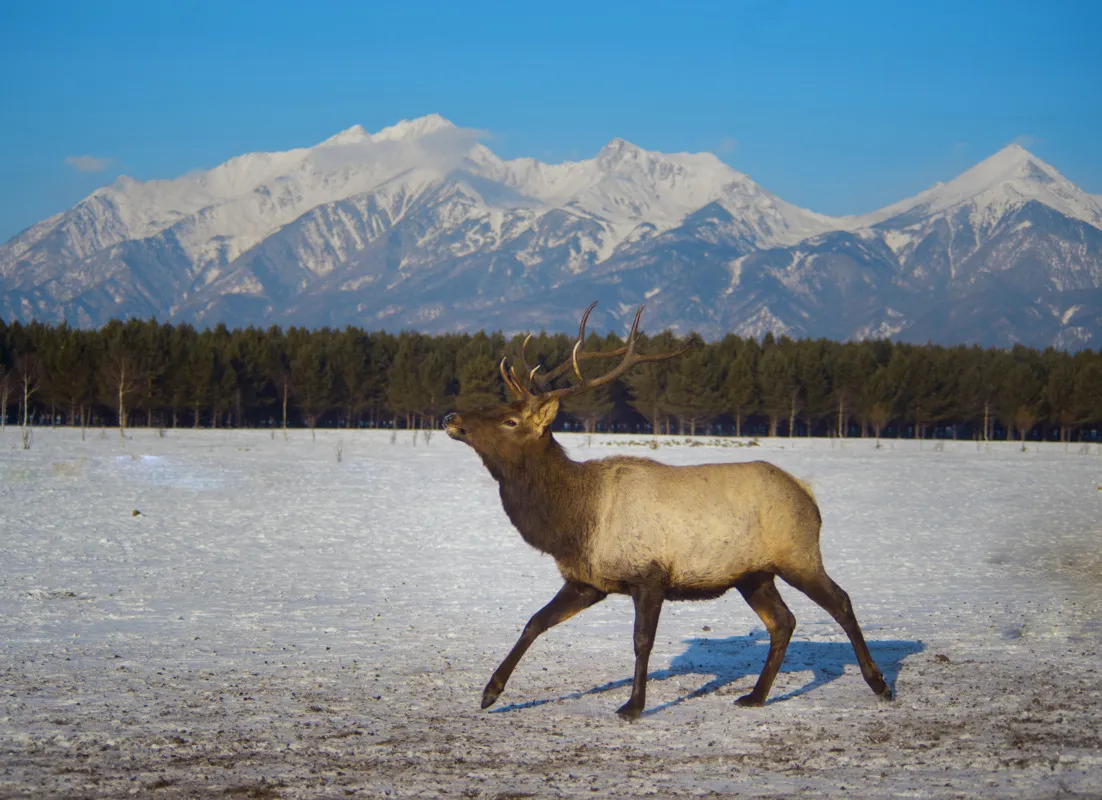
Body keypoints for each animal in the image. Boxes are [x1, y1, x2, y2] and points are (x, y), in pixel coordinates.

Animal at [443, 299, 890, 722]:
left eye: (509, 420)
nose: (451, 416)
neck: (575, 523)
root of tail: (809, 495)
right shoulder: (588, 581)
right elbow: (534, 621)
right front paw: (490, 692)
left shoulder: (649, 575)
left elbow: (642, 642)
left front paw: (633, 706)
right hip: (754, 574)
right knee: (783, 621)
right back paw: (755, 696)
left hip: (798, 554)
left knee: (841, 602)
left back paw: (879, 683)